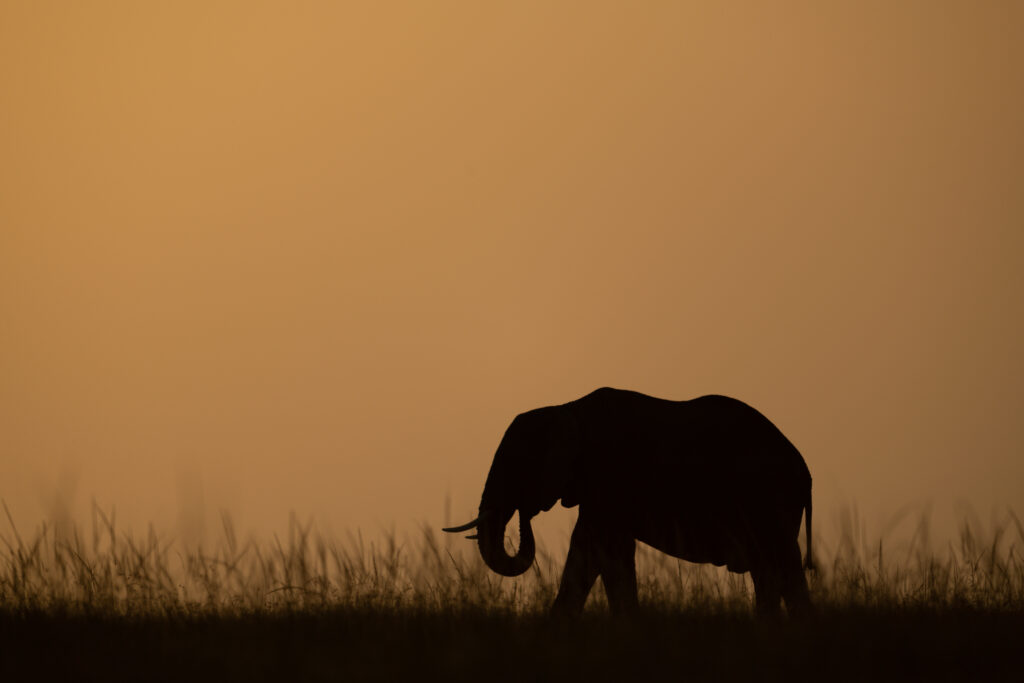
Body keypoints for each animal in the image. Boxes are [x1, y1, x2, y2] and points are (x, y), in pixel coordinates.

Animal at [443, 387, 813, 617]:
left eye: (516, 466)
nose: (524, 515)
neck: (566, 408)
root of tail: (804, 469)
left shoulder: (611, 479)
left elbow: (608, 553)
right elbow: (588, 554)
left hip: (768, 500)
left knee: (778, 568)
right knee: (774, 572)